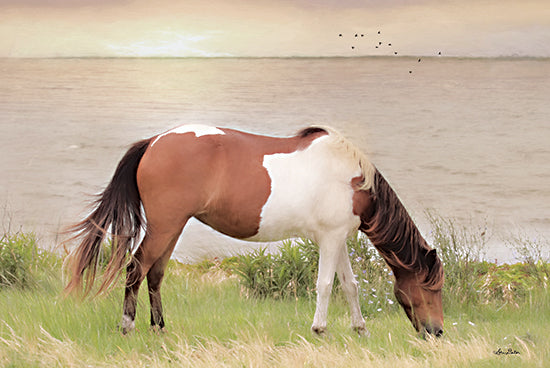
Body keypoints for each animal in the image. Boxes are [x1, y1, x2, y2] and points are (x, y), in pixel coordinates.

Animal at [64, 126, 446, 336]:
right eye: (434, 288)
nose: (437, 331)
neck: (353, 180)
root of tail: (155, 141)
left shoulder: (336, 238)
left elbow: (349, 285)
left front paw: (360, 329)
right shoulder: (331, 238)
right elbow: (325, 285)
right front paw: (320, 328)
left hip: (171, 228)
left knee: (154, 273)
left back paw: (159, 328)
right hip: (164, 226)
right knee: (135, 269)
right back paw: (128, 326)